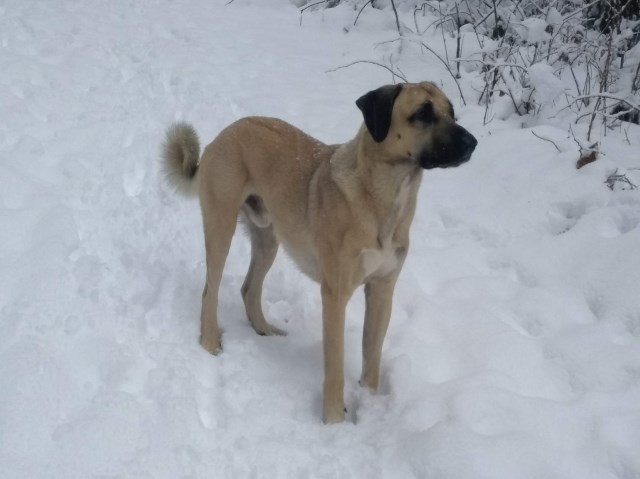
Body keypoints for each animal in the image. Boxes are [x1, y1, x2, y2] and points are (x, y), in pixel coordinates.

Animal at [162, 81, 478, 424]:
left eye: (451, 112)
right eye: (422, 113)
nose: (472, 143)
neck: (385, 197)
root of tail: (225, 133)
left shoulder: (382, 290)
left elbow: (372, 357)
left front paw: (369, 404)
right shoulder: (335, 295)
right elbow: (335, 367)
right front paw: (335, 420)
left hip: (268, 238)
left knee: (249, 288)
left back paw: (265, 329)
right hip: (221, 226)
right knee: (211, 291)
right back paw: (209, 342)